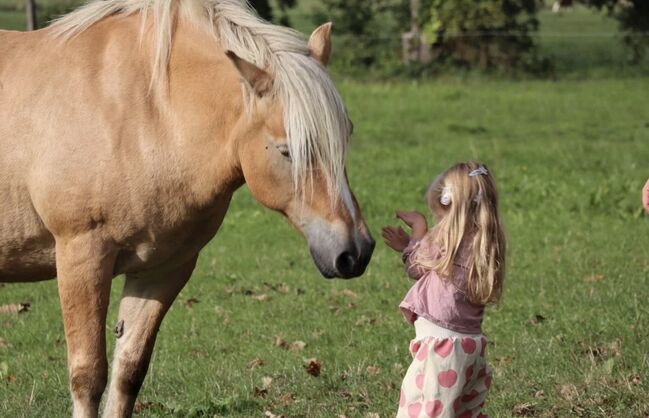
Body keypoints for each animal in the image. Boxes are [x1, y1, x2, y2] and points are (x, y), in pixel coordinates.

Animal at [0, 0, 375, 416]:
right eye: (287, 150)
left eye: (345, 136)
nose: (355, 252)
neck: (141, 112)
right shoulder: (82, 257)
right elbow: (88, 376)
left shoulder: (162, 269)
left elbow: (128, 371)